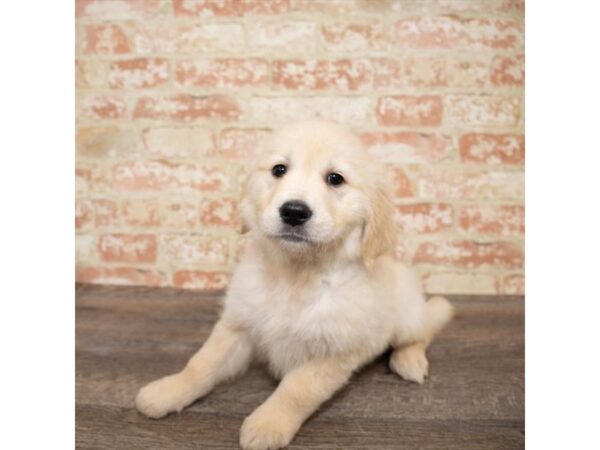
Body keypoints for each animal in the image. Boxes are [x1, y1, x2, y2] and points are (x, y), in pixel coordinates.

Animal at [136, 120, 454, 450]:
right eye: (279, 169)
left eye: (335, 178)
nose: (294, 211)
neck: (296, 274)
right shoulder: (238, 324)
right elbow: (202, 363)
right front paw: (167, 391)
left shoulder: (335, 351)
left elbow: (297, 388)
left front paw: (268, 424)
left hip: (406, 317)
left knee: (424, 330)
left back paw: (410, 361)